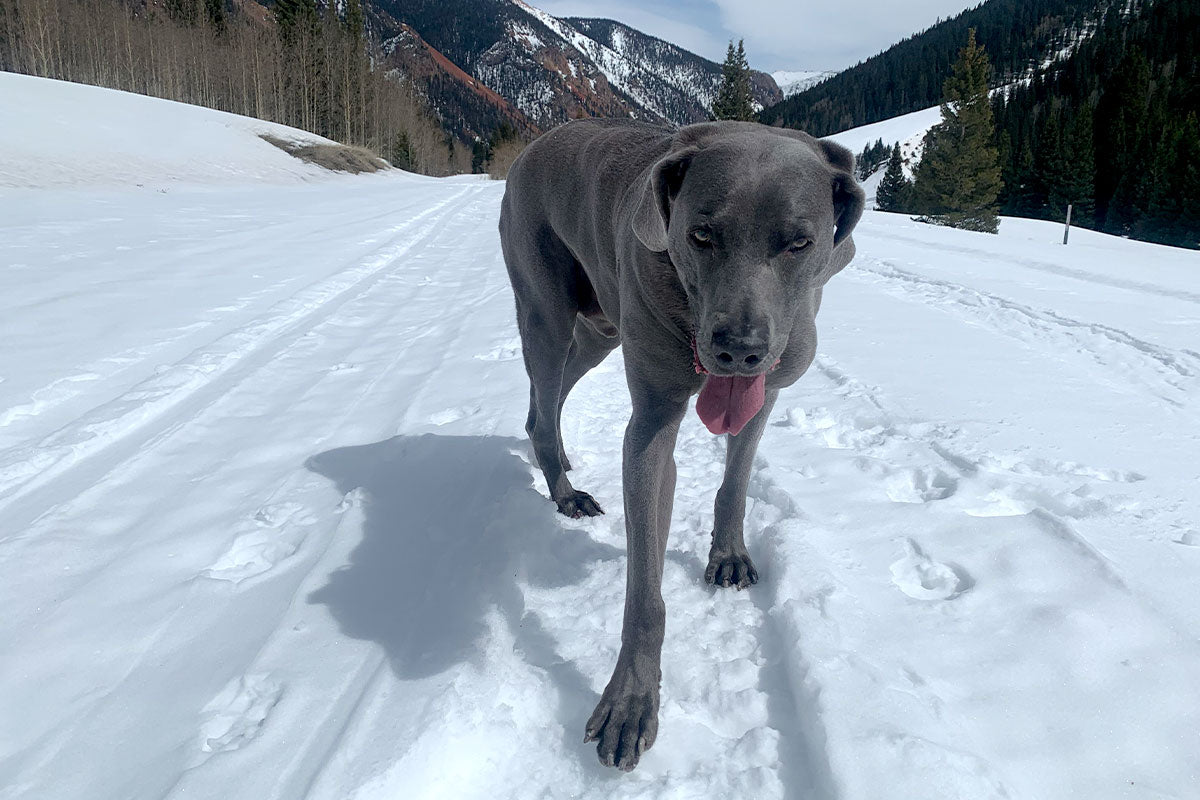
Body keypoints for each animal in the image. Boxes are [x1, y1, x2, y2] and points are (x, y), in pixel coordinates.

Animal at [496, 117, 864, 767]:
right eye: (700, 234)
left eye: (799, 243)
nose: (739, 348)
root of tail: (536, 144)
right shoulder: (652, 425)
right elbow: (645, 590)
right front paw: (630, 704)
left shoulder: (765, 390)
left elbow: (736, 480)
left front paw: (730, 554)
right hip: (546, 303)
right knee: (544, 387)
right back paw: (565, 492)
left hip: (602, 327)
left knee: (552, 396)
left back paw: (561, 459)